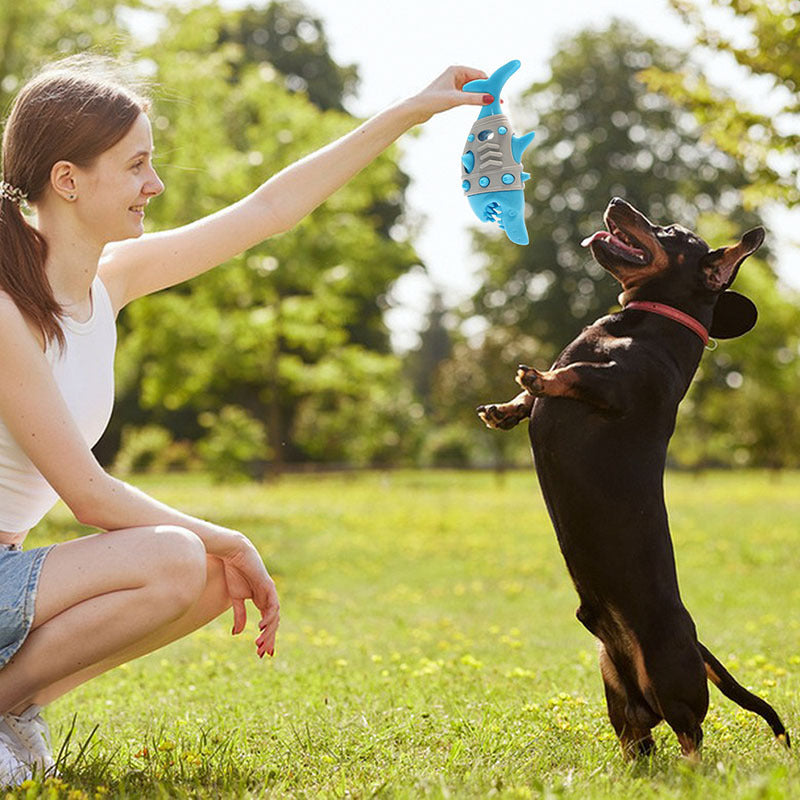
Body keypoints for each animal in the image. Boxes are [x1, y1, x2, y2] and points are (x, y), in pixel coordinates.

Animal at [478, 197, 792, 760]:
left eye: (669, 231)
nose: (615, 202)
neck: (638, 324)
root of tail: (695, 643)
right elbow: (529, 400)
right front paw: (504, 409)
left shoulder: (615, 389)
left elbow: (575, 374)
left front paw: (540, 375)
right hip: (615, 687)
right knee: (640, 737)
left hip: (670, 673)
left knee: (692, 732)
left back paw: (692, 767)